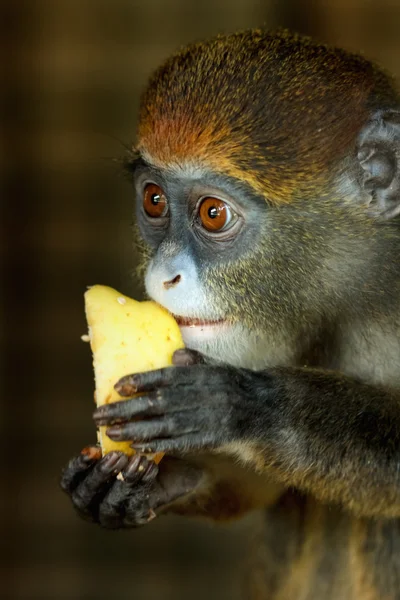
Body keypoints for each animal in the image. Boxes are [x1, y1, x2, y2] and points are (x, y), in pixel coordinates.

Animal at [60, 29, 400, 600]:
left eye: (213, 213)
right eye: (154, 201)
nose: (164, 276)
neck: (365, 285)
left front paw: (242, 406)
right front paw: (149, 484)